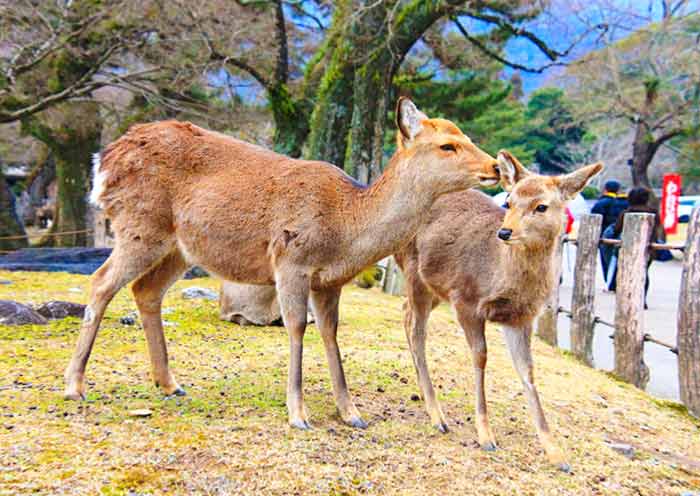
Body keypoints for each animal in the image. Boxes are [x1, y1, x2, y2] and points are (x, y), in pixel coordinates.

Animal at [63, 98, 500, 430]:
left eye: (466, 136)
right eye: (447, 145)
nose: (496, 166)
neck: (346, 227)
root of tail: (103, 160)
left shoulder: (330, 281)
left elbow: (330, 333)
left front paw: (351, 413)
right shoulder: (291, 260)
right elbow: (295, 327)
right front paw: (299, 414)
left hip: (179, 247)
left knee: (145, 290)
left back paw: (169, 383)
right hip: (139, 225)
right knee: (100, 282)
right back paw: (75, 385)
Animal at [396, 152, 604, 472]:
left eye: (541, 206)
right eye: (509, 200)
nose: (505, 232)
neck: (500, 275)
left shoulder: (520, 318)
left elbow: (527, 370)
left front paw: (557, 453)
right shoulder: (466, 300)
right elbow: (480, 357)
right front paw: (486, 436)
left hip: (433, 288)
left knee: (406, 313)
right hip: (413, 269)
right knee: (417, 329)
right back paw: (437, 415)